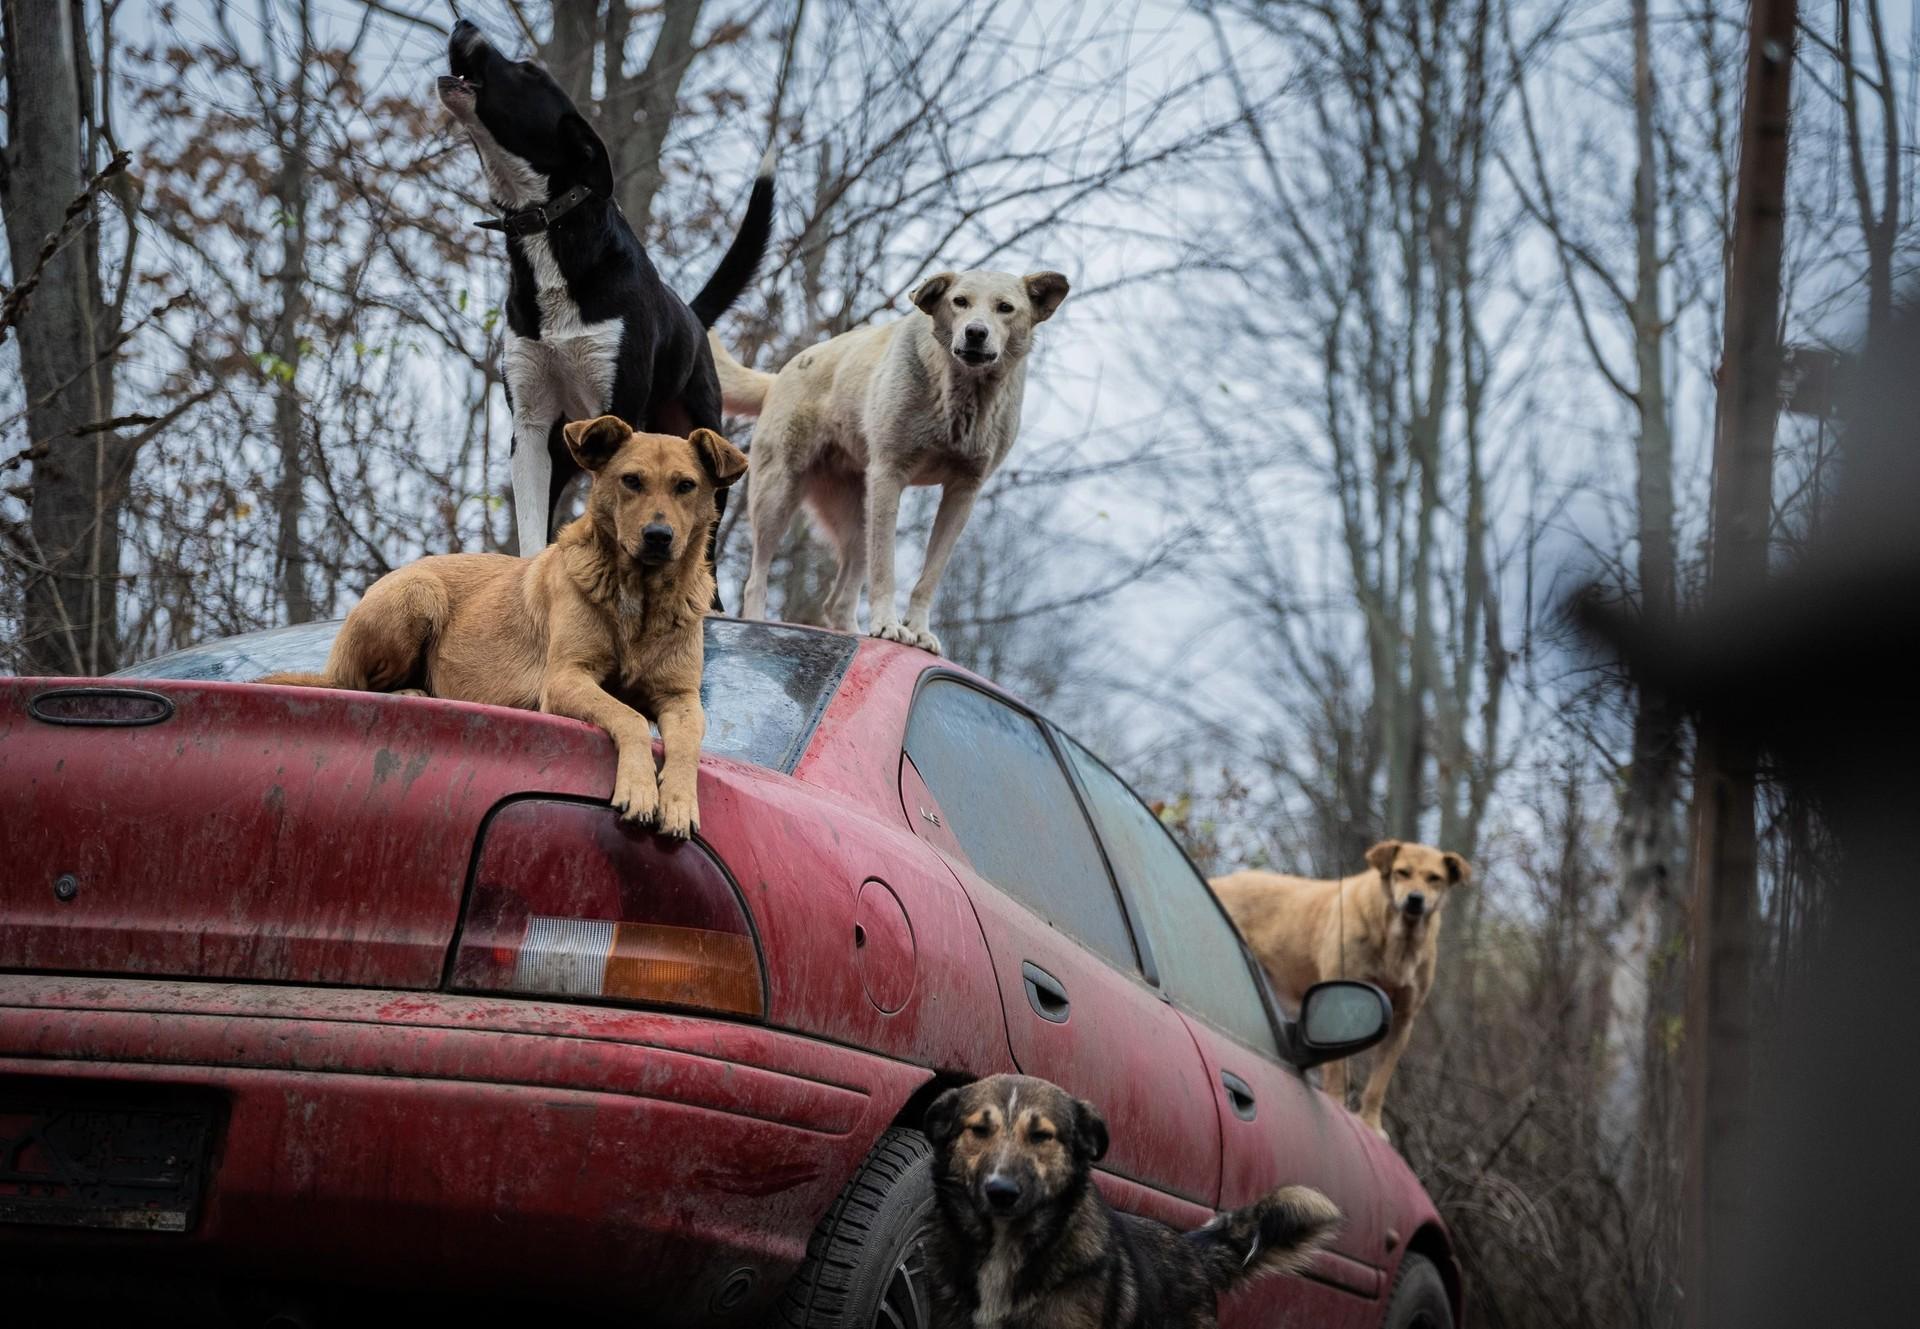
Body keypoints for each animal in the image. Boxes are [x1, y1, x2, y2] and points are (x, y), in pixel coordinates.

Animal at [261, 414, 748, 837]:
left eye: (685, 486)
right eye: (632, 481)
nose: (658, 537)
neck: (642, 599)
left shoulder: (680, 698)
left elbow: (687, 744)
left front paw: (679, 802)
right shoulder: (565, 679)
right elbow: (628, 717)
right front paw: (641, 787)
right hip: (417, 593)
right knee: (357, 685)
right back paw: (410, 692)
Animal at [439, 14, 768, 576]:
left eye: (528, 71)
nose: (463, 22)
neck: (548, 232)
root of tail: (691, 317)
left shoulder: (619, 403)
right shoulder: (530, 426)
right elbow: (533, 531)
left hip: (706, 443)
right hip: (562, 449)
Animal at [710, 266, 1067, 652]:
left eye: (1005, 308)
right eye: (960, 302)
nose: (975, 332)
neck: (961, 392)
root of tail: (777, 378)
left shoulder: (963, 492)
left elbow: (930, 576)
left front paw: (919, 631)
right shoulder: (889, 475)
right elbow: (885, 567)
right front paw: (887, 625)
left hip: (856, 519)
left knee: (836, 602)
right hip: (777, 497)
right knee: (756, 578)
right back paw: (756, 624)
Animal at [1213, 841, 1466, 1129]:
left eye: (1434, 878)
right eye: (1402, 872)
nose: (1415, 899)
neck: (1399, 941)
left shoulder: (1402, 1019)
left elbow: (1379, 1082)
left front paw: (1371, 1124)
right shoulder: (1341, 1007)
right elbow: (1337, 1069)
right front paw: (1336, 1103)